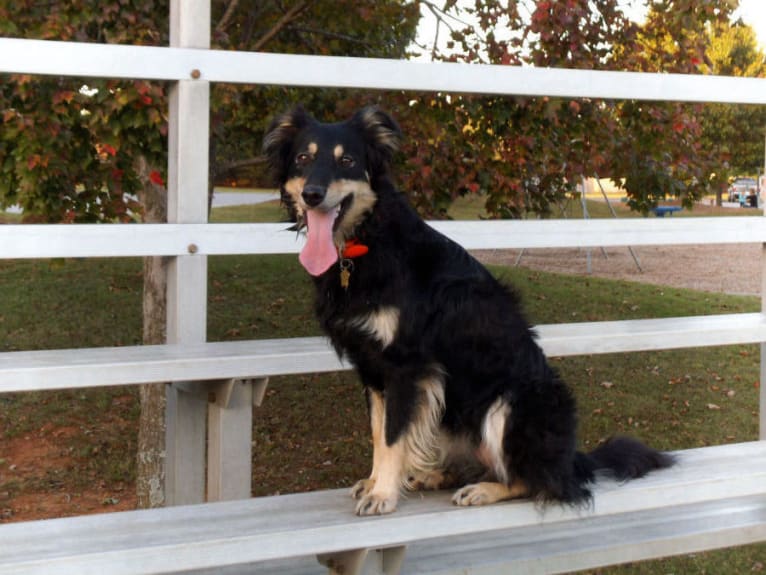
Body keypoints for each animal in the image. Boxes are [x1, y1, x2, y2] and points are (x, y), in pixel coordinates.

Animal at [262, 106, 672, 516]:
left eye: (347, 161)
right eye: (303, 158)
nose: (312, 195)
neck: (368, 239)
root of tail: (571, 461)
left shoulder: (406, 366)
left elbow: (393, 436)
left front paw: (383, 494)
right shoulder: (373, 368)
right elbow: (379, 433)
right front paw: (376, 483)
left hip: (512, 403)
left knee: (536, 482)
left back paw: (484, 489)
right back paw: (437, 476)